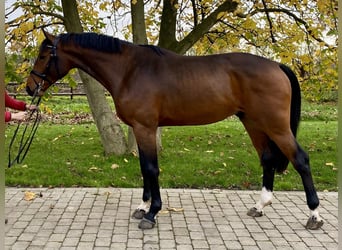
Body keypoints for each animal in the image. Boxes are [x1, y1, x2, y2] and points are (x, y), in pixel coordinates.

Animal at [26, 31, 324, 230]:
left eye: (43, 55)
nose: (30, 88)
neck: (130, 69)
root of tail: (277, 65)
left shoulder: (145, 128)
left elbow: (151, 169)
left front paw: (151, 214)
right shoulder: (141, 129)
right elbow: (144, 168)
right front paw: (142, 207)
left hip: (276, 125)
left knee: (301, 160)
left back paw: (314, 216)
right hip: (253, 122)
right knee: (267, 158)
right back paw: (260, 206)